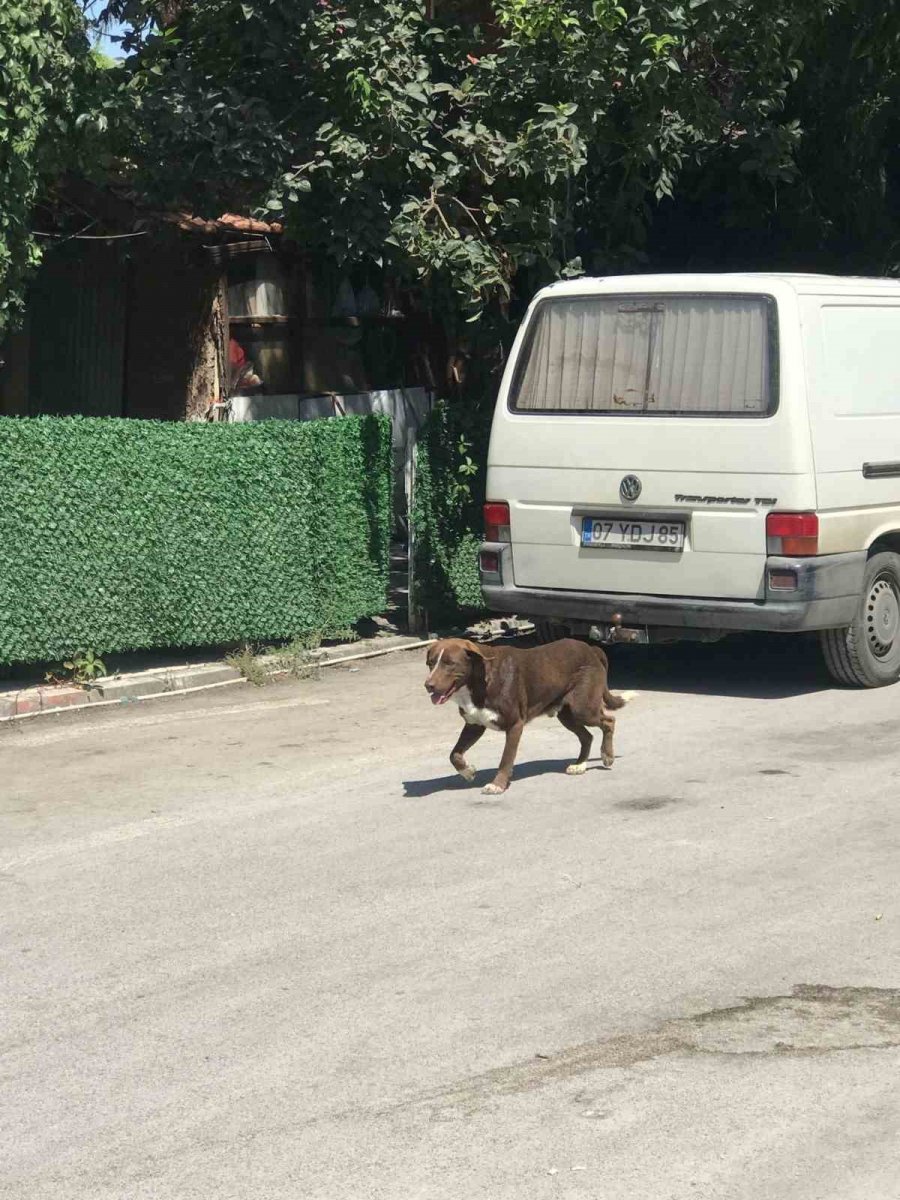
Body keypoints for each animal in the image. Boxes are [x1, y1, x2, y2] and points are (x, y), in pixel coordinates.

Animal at [427, 638, 638, 796]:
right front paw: (467, 771)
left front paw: (498, 785)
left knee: (608, 721)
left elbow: (506, 759)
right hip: (567, 714)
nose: (427, 685)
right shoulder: (474, 724)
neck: (480, 680)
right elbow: (454, 754)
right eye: (430, 663)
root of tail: (591, 648)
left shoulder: (514, 725)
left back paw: (607, 755)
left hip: (582, 708)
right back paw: (579, 765)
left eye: (449, 663)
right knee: (587, 736)